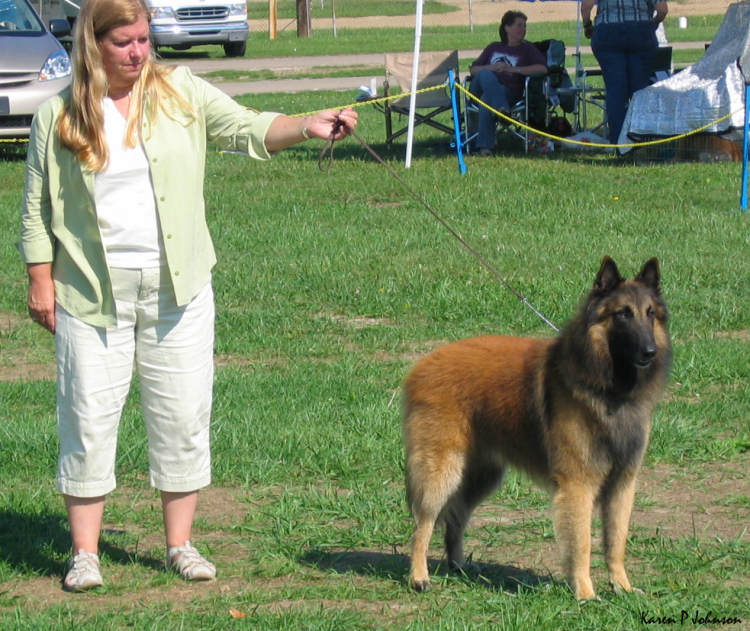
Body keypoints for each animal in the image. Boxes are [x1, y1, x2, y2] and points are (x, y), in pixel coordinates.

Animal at [402, 256, 672, 596]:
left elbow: (616, 542)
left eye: (650, 314)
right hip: (443, 471)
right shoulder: (578, 485)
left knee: (456, 516)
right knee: (423, 522)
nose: (650, 351)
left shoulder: (622, 484)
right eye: (623, 313)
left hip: (481, 475)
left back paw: (459, 565)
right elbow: (582, 544)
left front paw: (622, 588)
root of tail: (421, 366)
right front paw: (586, 593)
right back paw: (418, 576)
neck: (606, 387)